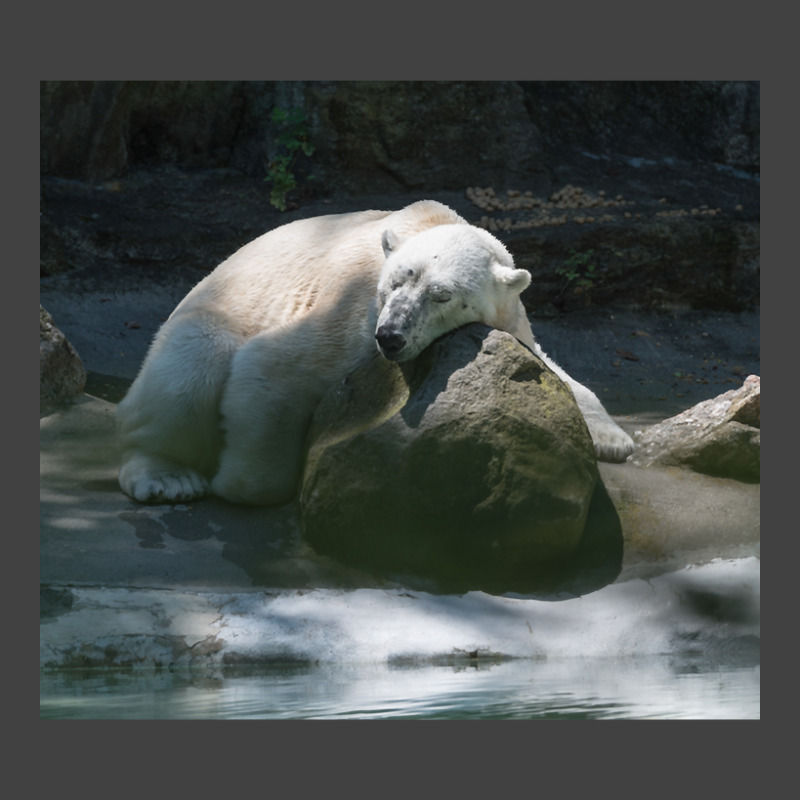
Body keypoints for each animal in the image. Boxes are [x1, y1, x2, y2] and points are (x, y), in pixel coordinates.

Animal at [117, 200, 632, 504]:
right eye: (397, 281)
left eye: (441, 295)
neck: (427, 221)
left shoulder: (508, 313)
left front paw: (615, 440)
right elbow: (272, 366)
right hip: (199, 323)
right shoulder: (352, 313)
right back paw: (167, 478)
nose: (392, 337)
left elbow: (548, 364)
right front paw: (238, 483)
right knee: (190, 369)